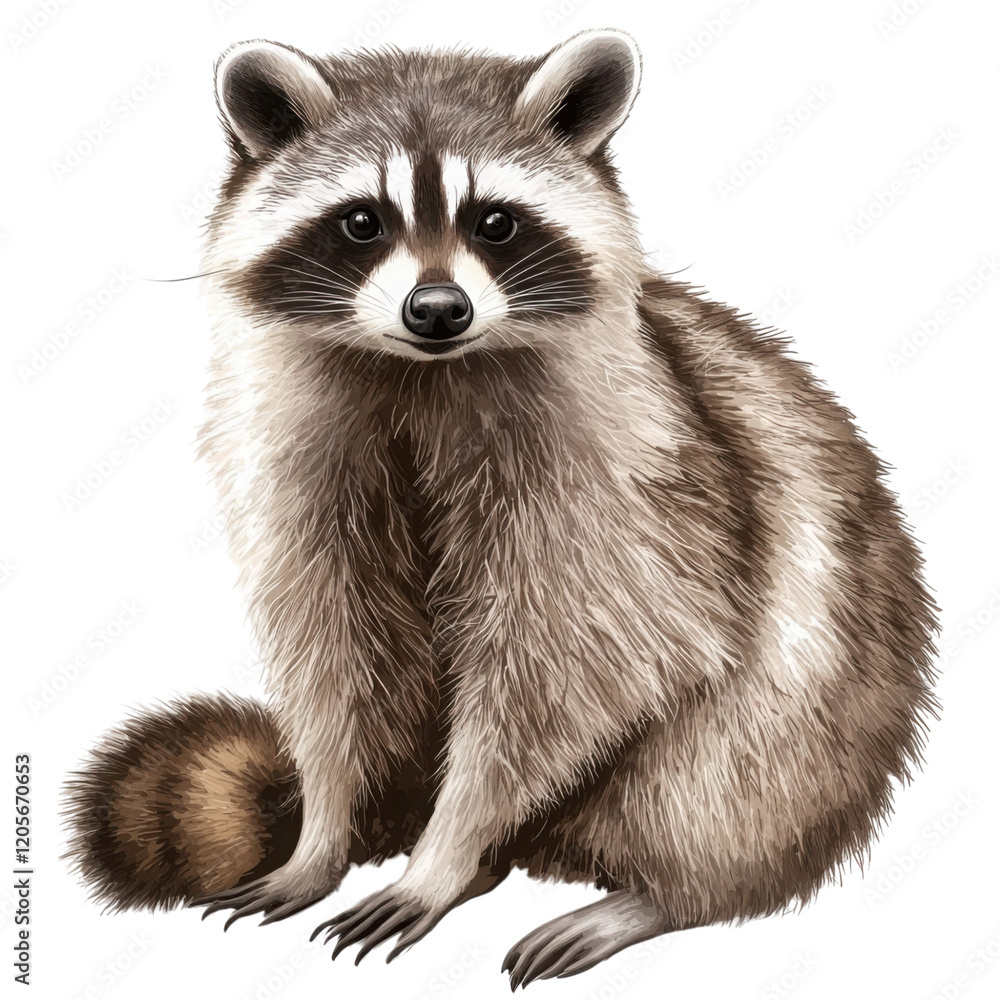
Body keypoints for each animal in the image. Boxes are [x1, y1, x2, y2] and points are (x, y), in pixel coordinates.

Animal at [65, 30, 938, 988]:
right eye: (362, 221)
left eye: (496, 221)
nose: (437, 309)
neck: (420, 374)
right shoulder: (293, 452)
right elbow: (332, 651)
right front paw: (323, 831)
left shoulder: (624, 471)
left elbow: (582, 664)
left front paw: (445, 853)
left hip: (813, 709)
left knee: (728, 767)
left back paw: (651, 895)